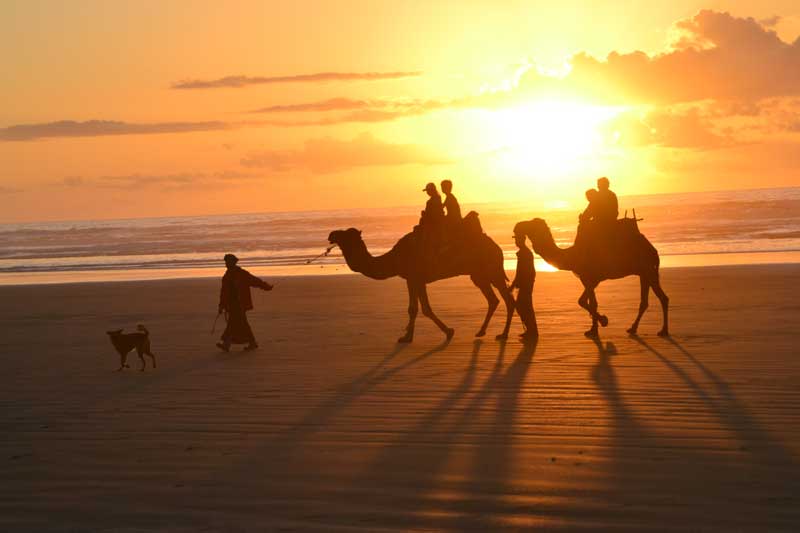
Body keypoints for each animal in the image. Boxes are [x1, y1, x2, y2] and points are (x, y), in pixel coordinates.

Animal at [330, 218, 512, 342]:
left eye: (346, 235)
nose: (331, 234)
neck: (395, 259)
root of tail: (496, 246)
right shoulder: (415, 279)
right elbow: (418, 308)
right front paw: (409, 335)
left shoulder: (415, 277)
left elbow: (419, 308)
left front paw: (444, 332)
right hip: (478, 274)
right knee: (493, 299)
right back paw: (481, 332)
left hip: (492, 270)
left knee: (507, 299)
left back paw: (503, 335)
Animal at [512, 217, 668, 336]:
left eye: (532, 224)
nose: (517, 225)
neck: (571, 256)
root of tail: (653, 250)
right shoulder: (587, 280)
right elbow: (590, 302)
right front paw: (593, 329)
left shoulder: (592, 279)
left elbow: (582, 301)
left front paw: (603, 321)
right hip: (644, 272)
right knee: (645, 301)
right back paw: (633, 328)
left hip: (649, 270)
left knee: (663, 298)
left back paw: (663, 331)